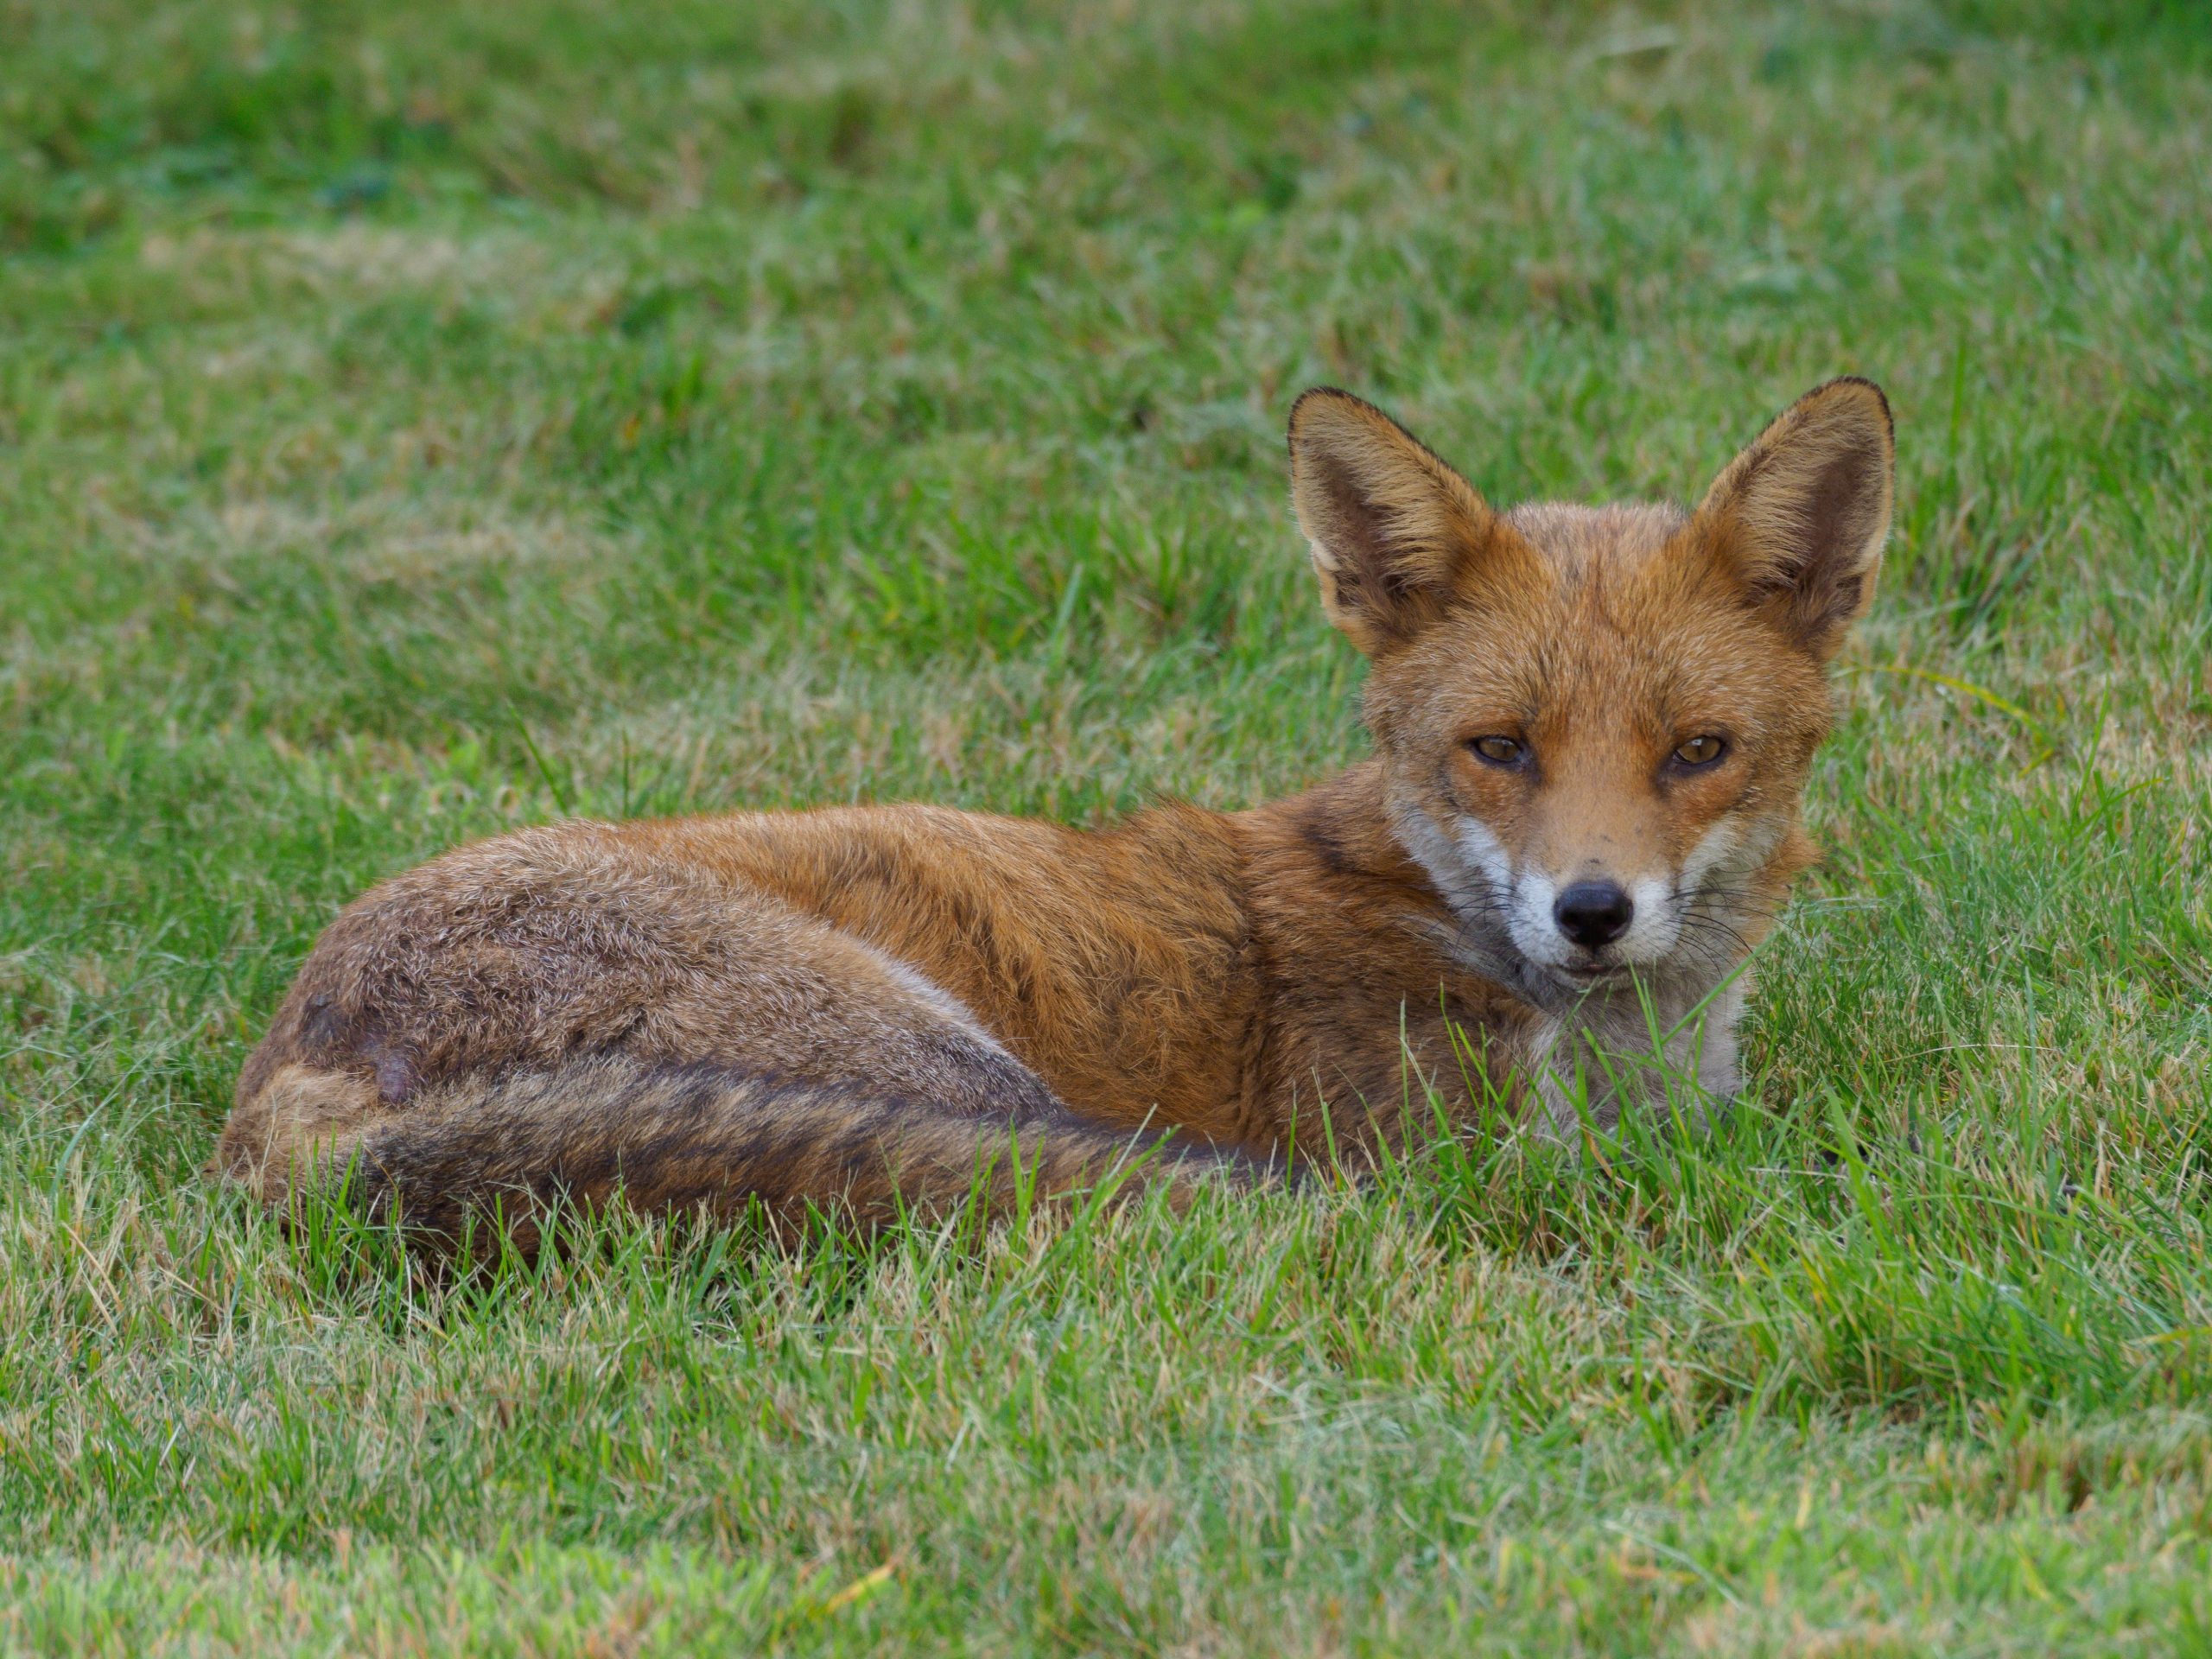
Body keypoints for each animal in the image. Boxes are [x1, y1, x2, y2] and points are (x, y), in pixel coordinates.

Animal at [215, 378, 1893, 1242]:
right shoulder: (1461, 1152)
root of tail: (291, 1074)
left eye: (1697, 752)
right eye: (1501, 750)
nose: (1592, 913)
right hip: (950, 1068)